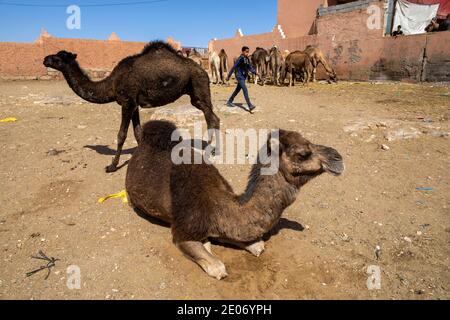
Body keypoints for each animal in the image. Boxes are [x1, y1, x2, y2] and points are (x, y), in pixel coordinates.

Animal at [42, 42, 220, 174]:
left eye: (59, 58)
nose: (45, 59)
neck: (111, 84)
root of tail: (202, 69)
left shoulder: (127, 102)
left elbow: (121, 135)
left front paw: (112, 166)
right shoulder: (134, 105)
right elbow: (138, 133)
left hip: (199, 86)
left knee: (211, 118)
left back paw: (210, 150)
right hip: (195, 93)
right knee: (213, 118)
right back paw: (212, 149)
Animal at [125, 120, 342, 280]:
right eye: (303, 154)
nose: (337, 158)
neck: (218, 203)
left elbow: (256, 245)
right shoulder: (182, 231)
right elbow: (217, 267)